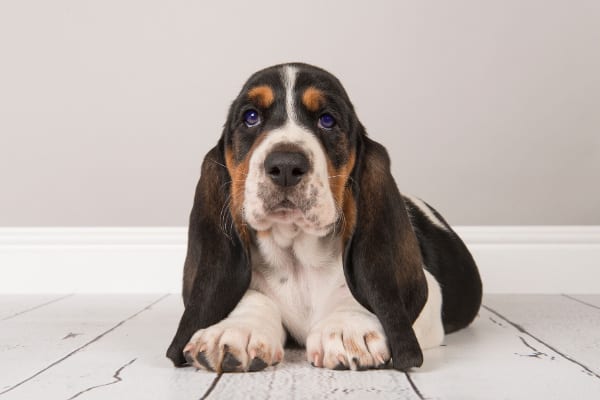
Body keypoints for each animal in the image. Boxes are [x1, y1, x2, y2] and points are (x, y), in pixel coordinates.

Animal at [165, 62, 482, 372]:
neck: (297, 260)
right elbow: (250, 296)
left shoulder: (430, 297)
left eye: (327, 120)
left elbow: (359, 290)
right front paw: (235, 329)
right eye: (250, 117)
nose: (285, 165)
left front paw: (348, 328)